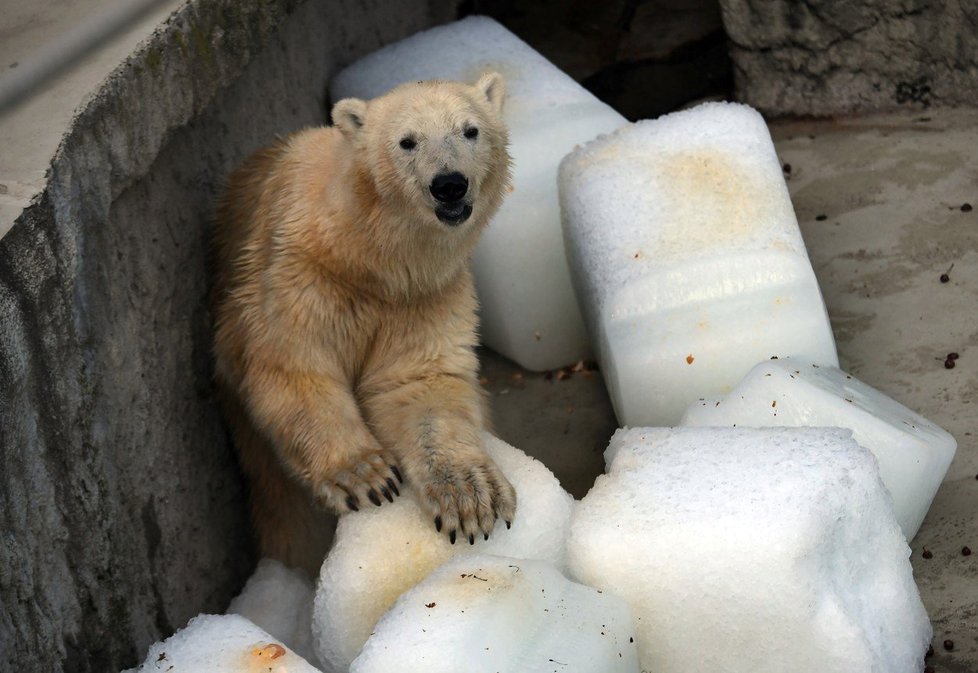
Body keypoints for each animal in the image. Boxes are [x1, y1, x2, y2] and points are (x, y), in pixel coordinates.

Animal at [214, 75, 520, 576]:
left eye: (470, 130)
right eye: (407, 141)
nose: (449, 186)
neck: (369, 259)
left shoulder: (425, 297)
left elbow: (418, 385)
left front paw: (471, 496)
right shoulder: (299, 277)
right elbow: (293, 364)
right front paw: (364, 475)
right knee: (288, 521)